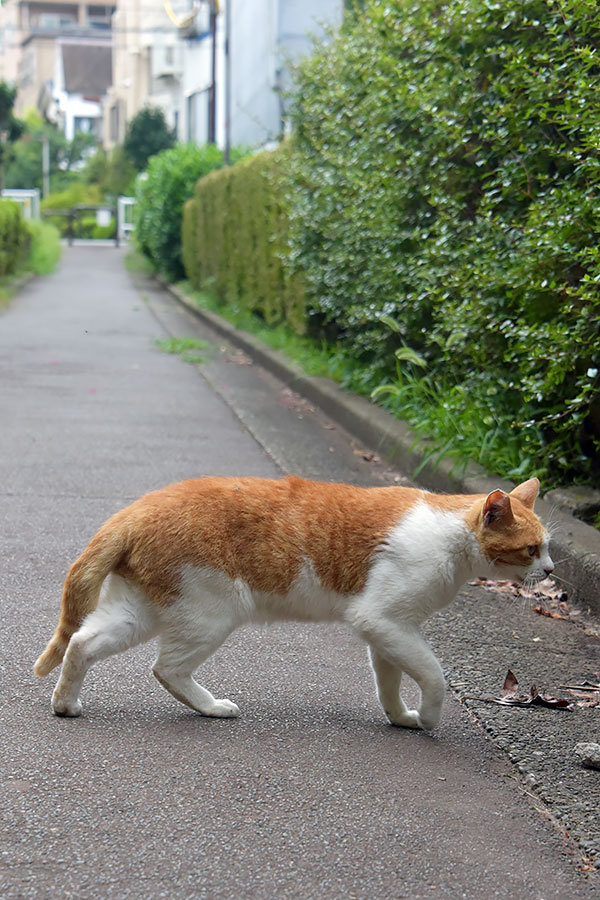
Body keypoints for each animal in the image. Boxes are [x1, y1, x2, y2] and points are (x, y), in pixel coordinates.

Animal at [35, 474, 552, 728]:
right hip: (211, 612)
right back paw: (212, 707)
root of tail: (135, 510)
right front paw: (427, 718)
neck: (451, 536)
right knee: (167, 669)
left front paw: (401, 718)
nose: (550, 573)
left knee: (81, 643)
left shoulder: (390, 629)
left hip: (139, 611)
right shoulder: (382, 620)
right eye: (532, 549)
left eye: (548, 548)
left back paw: (65, 704)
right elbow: (434, 676)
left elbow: (389, 681)